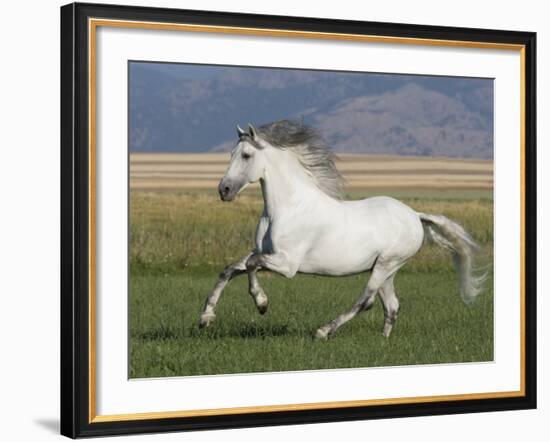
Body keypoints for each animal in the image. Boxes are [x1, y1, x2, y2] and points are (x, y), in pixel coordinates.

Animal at [198, 121, 484, 338]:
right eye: (231, 154)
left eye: (246, 155)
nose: (224, 190)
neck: (287, 208)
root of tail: (415, 215)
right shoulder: (263, 252)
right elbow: (230, 269)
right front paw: (206, 318)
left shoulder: (287, 264)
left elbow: (251, 266)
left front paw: (262, 304)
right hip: (386, 269)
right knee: (391, 305)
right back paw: (383, 342)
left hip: (387, 264)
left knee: (366, 301)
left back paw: (323, 331)